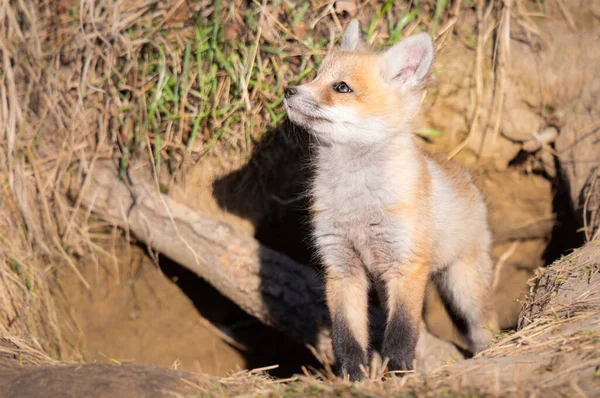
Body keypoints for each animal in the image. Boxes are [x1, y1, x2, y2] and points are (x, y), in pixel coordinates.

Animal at [284, 20, 500, 380]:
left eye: (341, 87)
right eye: (315, 75)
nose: (288, 90)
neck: (357, 200)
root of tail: (461, 173)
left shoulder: (407, 266)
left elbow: (400, 333)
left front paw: (397, 373)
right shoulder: (341, 267)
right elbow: (347, 335)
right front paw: (353, 377)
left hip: (463, 284)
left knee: (483, 322)